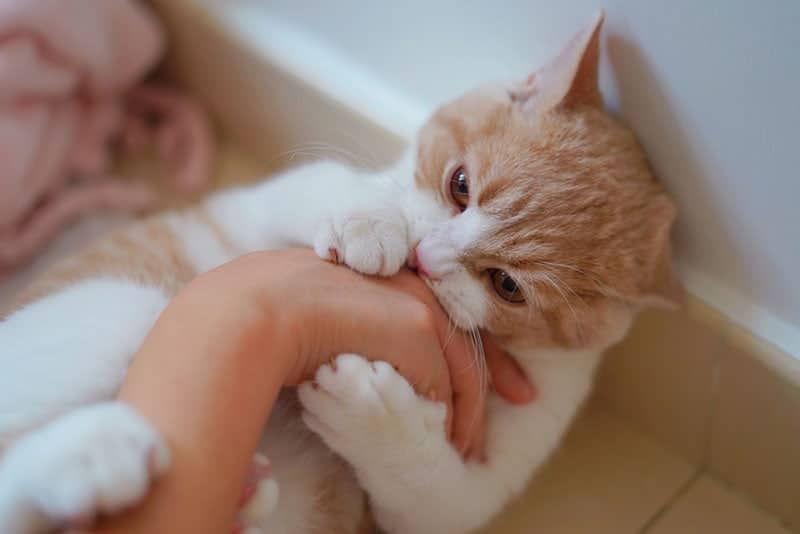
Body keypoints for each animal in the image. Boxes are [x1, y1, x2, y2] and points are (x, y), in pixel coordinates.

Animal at [0, 12, 680, 534]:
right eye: (460, 185)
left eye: (507, 286)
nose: (426, 255)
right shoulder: (254, 213)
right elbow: (324, 183)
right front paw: (368, 221)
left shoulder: (480, 476)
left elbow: (437, 491)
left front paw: (373, 414)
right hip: (129, 313)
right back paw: (86, 455)